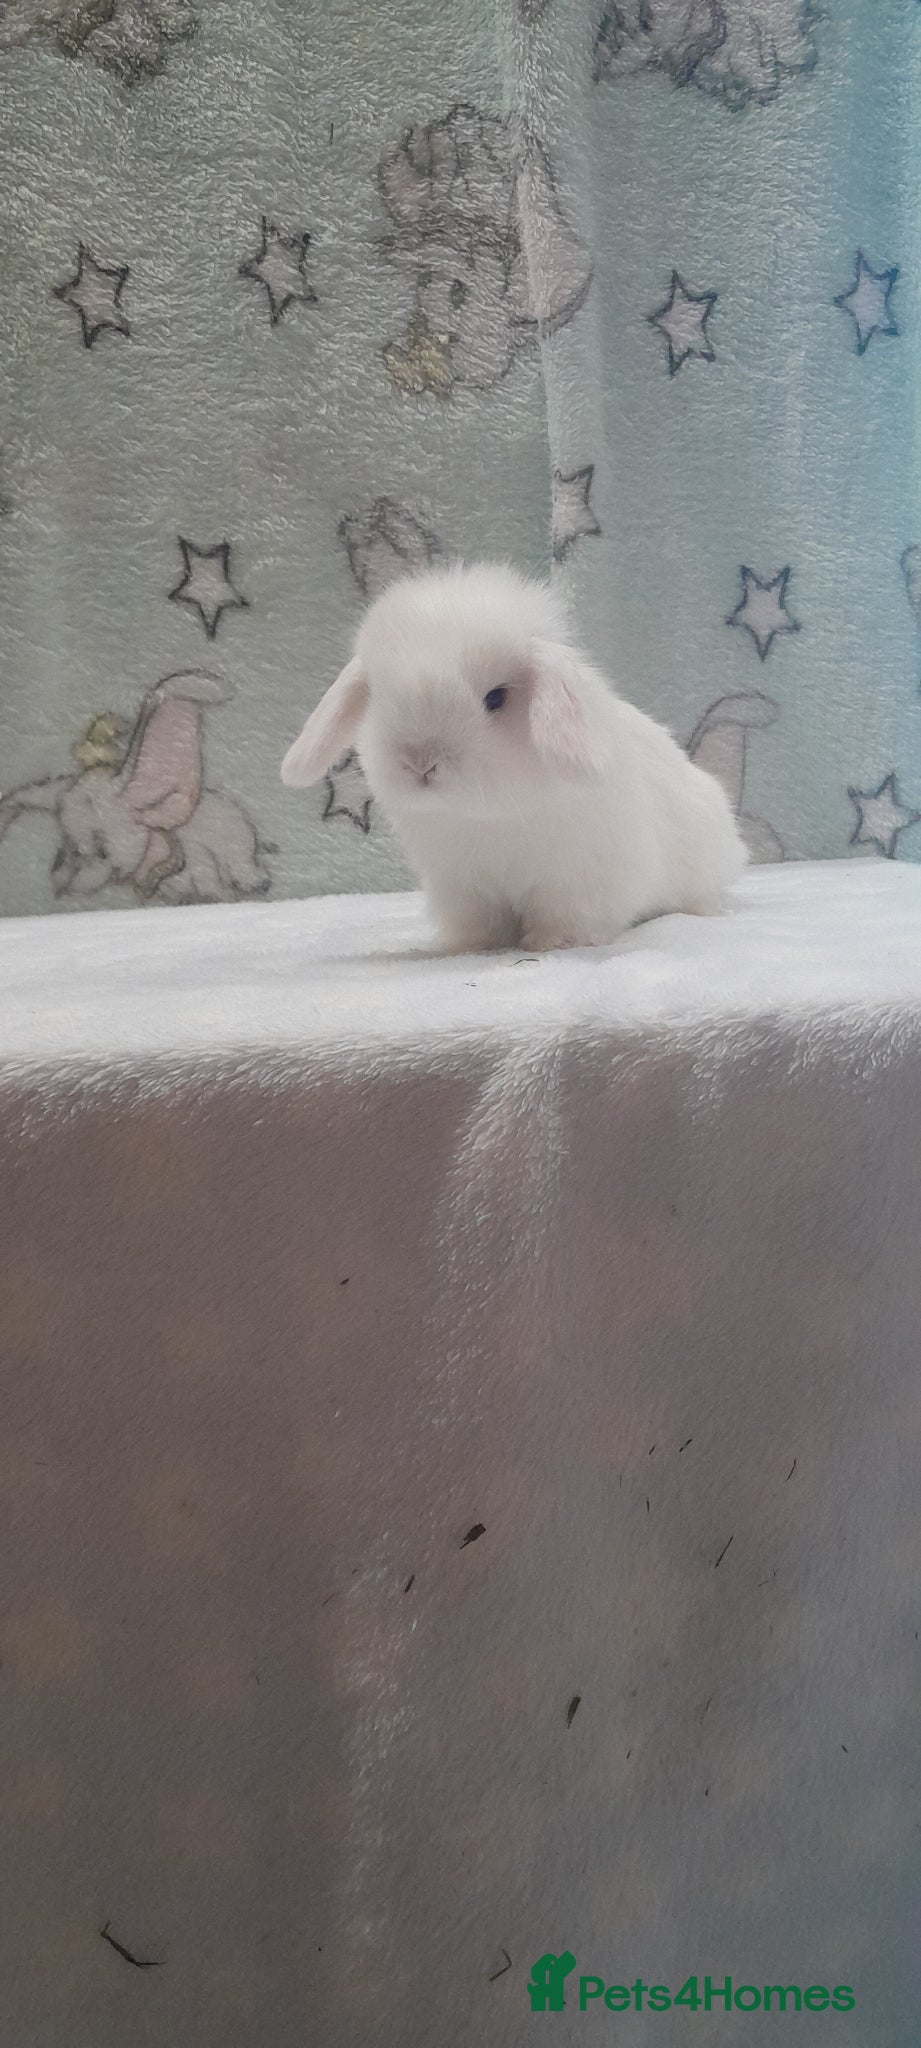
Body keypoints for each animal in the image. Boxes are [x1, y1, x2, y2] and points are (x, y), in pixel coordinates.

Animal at [281, 562, 747, 952]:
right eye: (377, 698)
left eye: (496, 697)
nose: (420, 763)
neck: (486, 818)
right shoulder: (464, 888)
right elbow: (480, 924)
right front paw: (470, 946)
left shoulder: (578, 879)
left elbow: (571, 917)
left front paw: (553, 943)